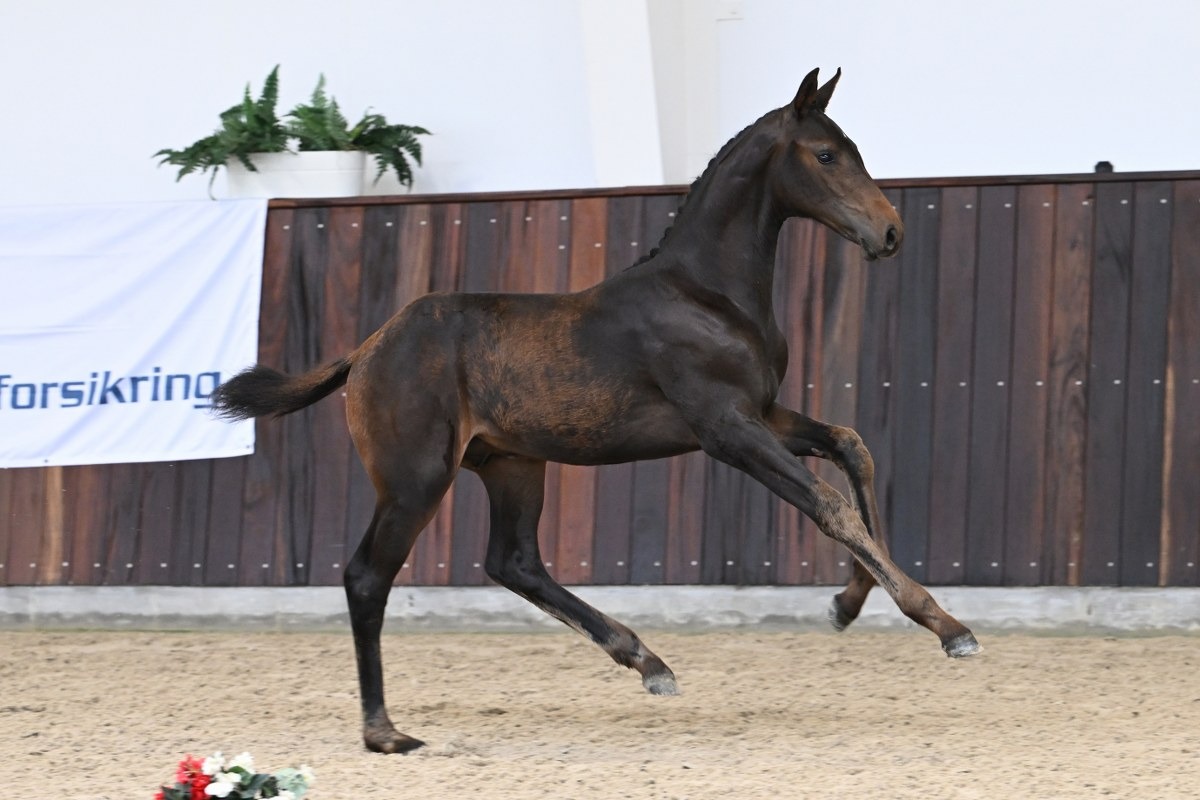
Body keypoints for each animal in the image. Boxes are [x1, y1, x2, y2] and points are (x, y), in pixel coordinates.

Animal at [213, 70, 984, 758]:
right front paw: (947, 626)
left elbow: (851, 448)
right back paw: (385, 732)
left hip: (513, 464)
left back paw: (647, 661)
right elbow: (829, 504)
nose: (890, 231)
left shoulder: (762, 413)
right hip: (416, 478)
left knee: (514, 560)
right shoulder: (726, 429)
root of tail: (368, 348)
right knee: (369, 576)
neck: (705, 292)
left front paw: (849, 604)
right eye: (826, 155)